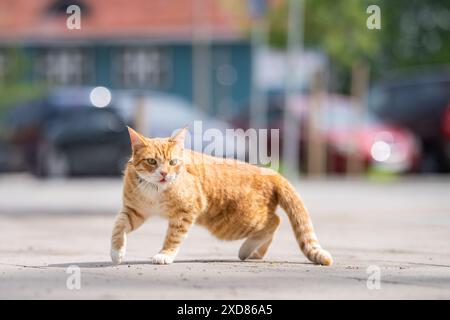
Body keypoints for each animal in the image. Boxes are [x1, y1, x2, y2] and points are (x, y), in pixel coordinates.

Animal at [110, 127, 332, 264]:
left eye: (173, 162)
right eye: (152, 162)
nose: (164, 174)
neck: (154, 190)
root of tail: (269, 172)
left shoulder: (185, 212)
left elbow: (173, 237)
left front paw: (165, 255)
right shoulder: (134, 211)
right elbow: (118, 226)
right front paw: (116, 252)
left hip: (233, 224)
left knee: (274, 222)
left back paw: (247, 249)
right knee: (273, 224)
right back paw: (256, 253)